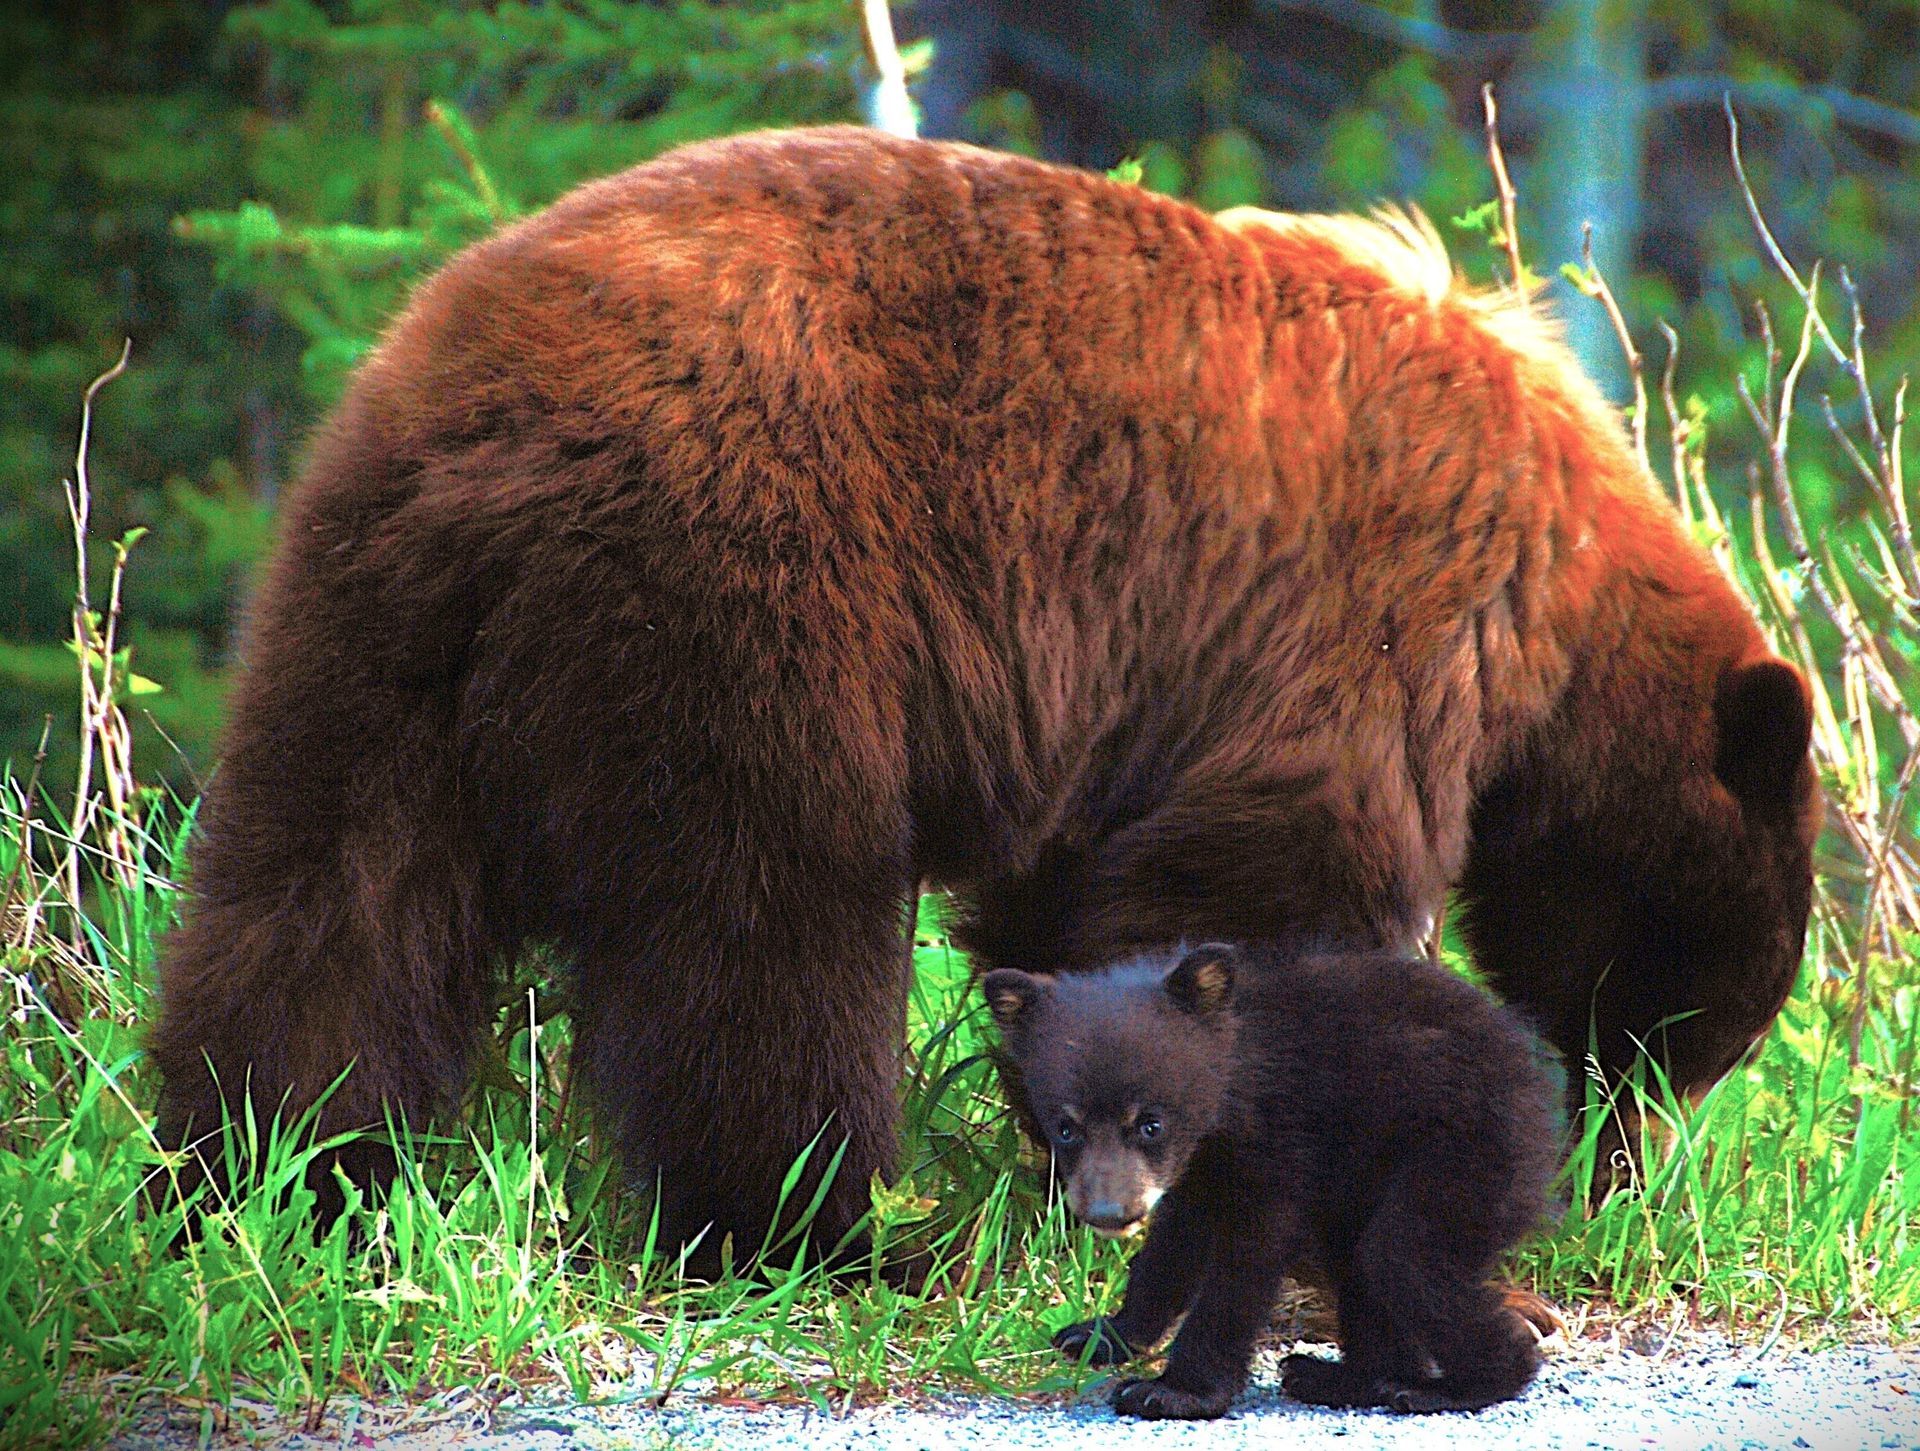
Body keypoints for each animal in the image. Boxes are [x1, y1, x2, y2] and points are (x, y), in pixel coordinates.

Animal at [151, 125, 1819, 1265]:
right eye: (1706, 1017)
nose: (1627, 1159)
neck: (1562, 593)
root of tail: (484, 420)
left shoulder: (1135, 706)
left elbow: (1081, 904)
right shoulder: (1373, 618)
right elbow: (1270, 876)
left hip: (363, 618)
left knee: (322, 903)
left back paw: (262, 1177)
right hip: (743, 586)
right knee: (766, 932)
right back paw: (822, 1227)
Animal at [984, 943, 1559, 1418]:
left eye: (1150, 1123)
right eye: (1066, 1127)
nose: (1109, 1213)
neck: (1231, 1089)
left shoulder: (1279, 1141)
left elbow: (1246, 1260)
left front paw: (1173, 1392)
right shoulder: (1198, 1168)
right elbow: (1173, 1247)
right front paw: (1101, 1334)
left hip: (1463, 1153)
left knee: (1404, 1258)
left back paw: (1453, 1386)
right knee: (1360, 1266)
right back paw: (1339, 1378)